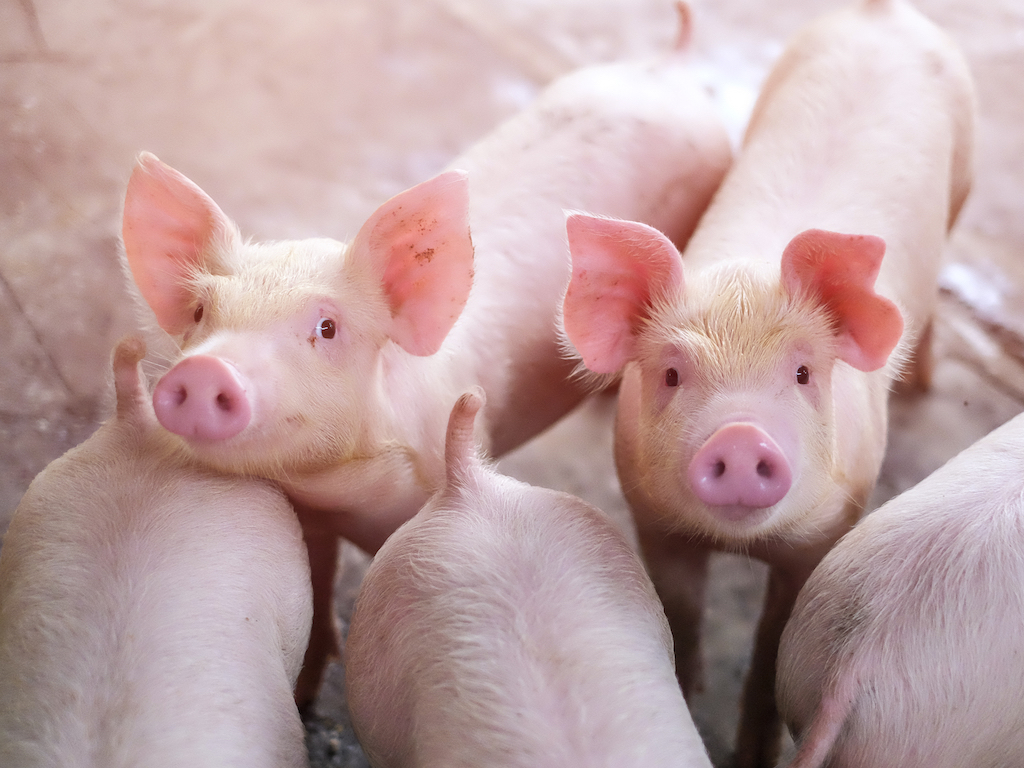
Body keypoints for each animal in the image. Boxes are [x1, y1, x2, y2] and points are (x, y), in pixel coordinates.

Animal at [119, 2, 732, 707]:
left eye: (327, 328)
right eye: (200, 313)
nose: (203, 370)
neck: (347, 492)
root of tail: (671, 63)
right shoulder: (313, 513)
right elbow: (318, 583)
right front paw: (304, 695)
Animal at [558, 1, 975, 766]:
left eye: (804, 372)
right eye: (671, 372)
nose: (741, 435)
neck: (742, 547)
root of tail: (880, 13)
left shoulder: (828, 526)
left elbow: (770, 643)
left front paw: (751, 753)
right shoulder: (653, 519)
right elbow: (682, 615)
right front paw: (689, 698)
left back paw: (924, 385)